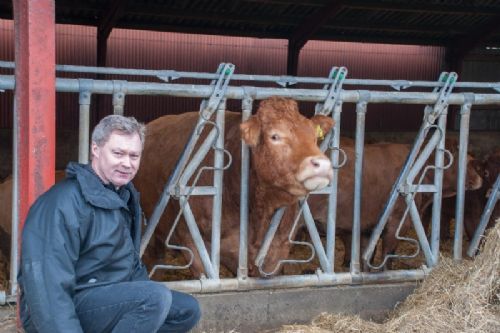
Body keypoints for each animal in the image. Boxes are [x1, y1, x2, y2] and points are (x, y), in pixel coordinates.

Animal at [308, 137, 484, 268]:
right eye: (466, 161)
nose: (480, 180)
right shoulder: (397, 222)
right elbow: (387, 256)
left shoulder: (367, 228)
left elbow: (368, 258)